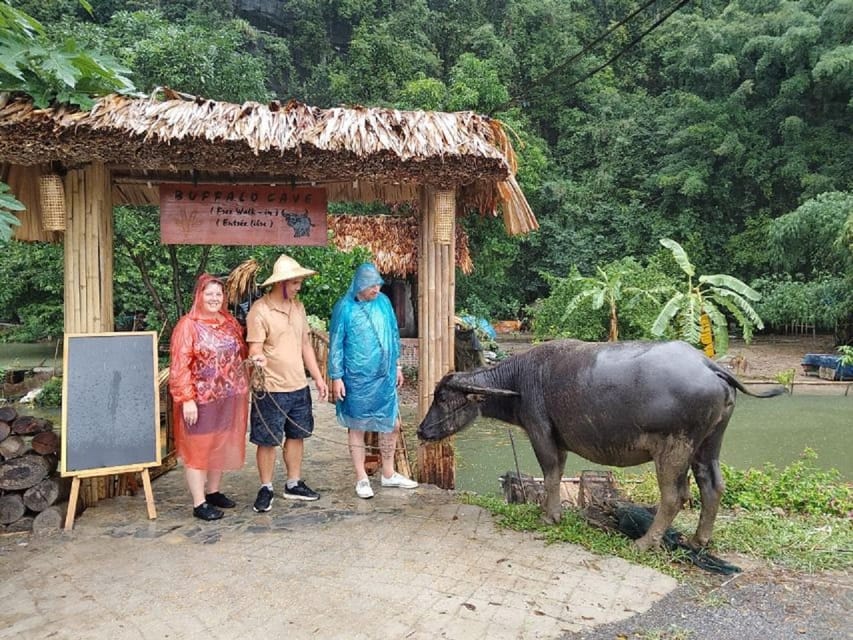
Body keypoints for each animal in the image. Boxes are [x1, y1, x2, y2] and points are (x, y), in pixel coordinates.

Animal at [416, 340, 784, 552]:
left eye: (443, 397)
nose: (421, 430)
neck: (519, 380)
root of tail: (711, 365)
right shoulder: (558, 439)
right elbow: (556, 474)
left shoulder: (540, 432)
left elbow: (550, 474)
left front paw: (549, 516)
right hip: (708, 443)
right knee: (712, 486)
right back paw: (698, 540)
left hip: (674, 448)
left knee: (674, 496)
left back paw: (644, 543)